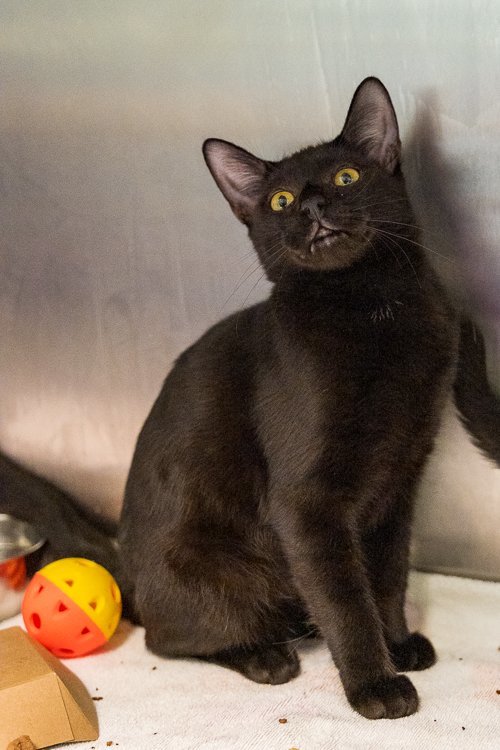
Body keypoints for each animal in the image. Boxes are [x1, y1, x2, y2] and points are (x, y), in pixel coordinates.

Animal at [118, 77, 460, 720]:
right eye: (278, 201)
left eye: (347, 177)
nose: (311, 207)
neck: (370, 308)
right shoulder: (306, 503)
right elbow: (346, 598)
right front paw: (375, 685)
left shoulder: (401, 481)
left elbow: (388, 576)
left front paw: (398, 644)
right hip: (214, 578)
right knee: (171, 638)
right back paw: (264, 656)